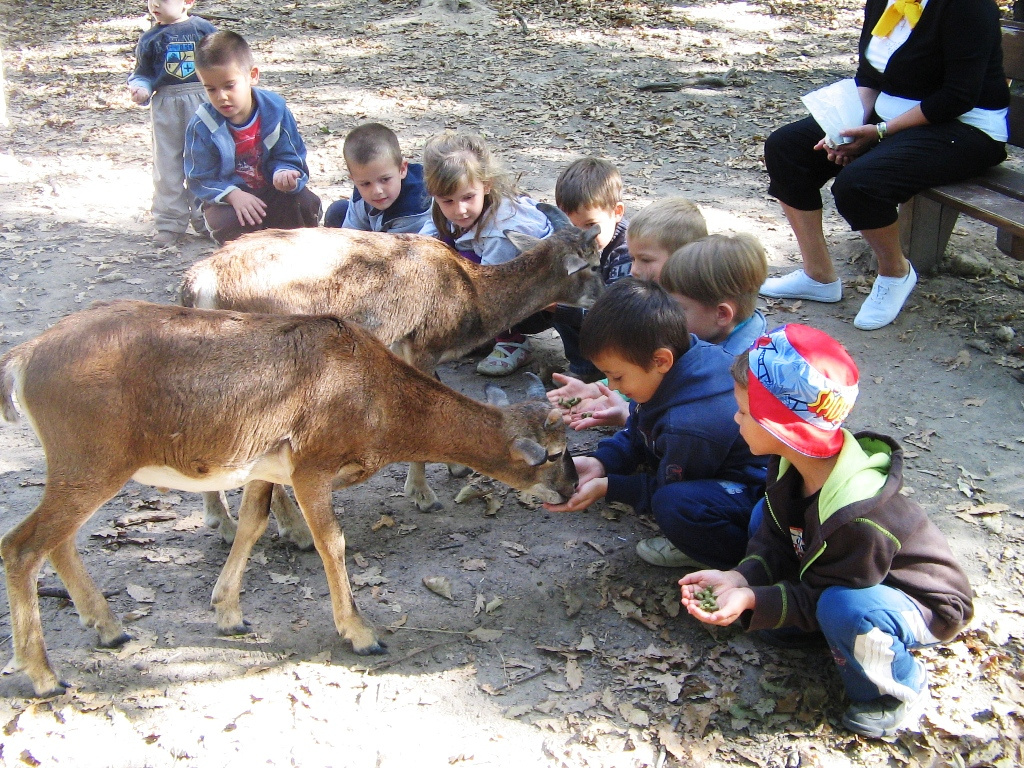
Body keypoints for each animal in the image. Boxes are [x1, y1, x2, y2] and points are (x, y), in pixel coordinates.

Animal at [0, 301, 577, 696]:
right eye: (553, 453)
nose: (573, 487)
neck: (377, 401)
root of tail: (23, 358)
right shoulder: (311, 466)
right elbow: (331, 541)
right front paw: (361, 633)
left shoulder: (265, 466)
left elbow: (253, 524)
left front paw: (229, 614)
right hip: (91, 460)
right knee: (22, 545)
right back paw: (46, 677)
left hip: (84, 467)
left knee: (57, 541)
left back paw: (109, 629)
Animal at [181, 204, 602, 540]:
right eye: (594, 263)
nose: (602, 296)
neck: (469, 293)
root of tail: (200, 283)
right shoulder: (424, 343)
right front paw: (423, 496)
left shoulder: (403, 344)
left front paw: (453, 468)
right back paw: (293, 530)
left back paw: (223, 523)